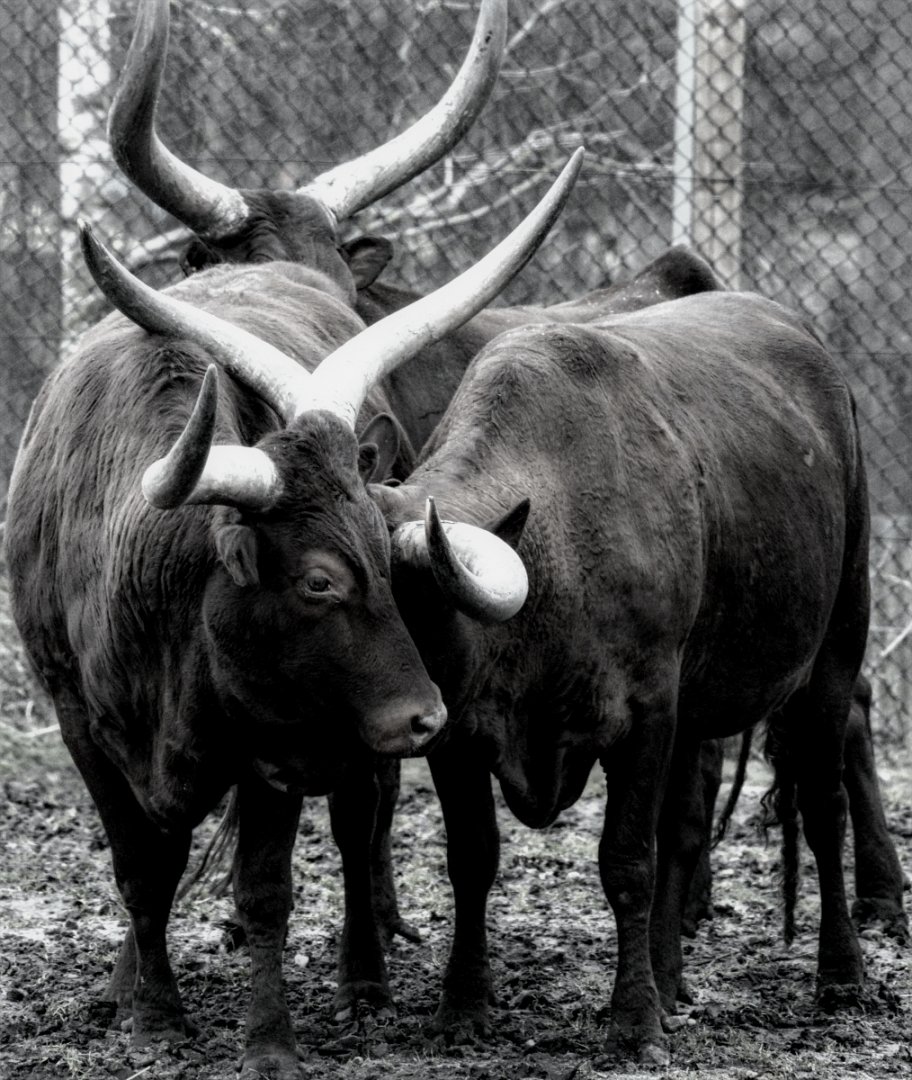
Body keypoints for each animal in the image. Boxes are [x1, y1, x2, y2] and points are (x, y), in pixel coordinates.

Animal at [3, 154, 580, 1079]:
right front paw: (152, 1012)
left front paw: (269, 1040)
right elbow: (140, 869)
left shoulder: (270, 737)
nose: (428, 717)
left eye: (388, 565)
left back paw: (362, 980)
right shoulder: (79, 724)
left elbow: (266, 890)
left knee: (356, 824)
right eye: (317, 582)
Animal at [368, 288, 871, 1064]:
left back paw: (840, 974)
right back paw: (670, 980)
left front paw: (633, 1021)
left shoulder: (645, 717)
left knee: (822, 805)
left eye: (398, 612)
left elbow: (628, 861)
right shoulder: (458, 738)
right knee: (688, 828)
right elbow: (472, 859)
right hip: (699, 708)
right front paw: (463, 1006)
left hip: (838, 646)